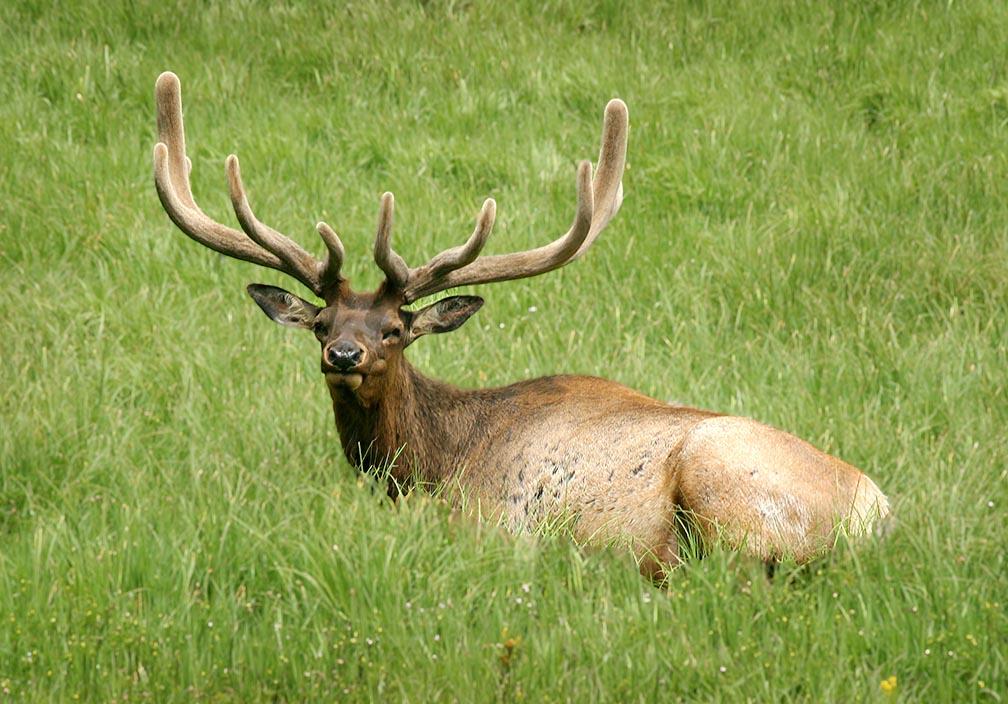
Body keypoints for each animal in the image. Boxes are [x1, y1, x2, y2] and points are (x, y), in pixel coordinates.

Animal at [151, 70, 891, 576]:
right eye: (322, 321)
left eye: (395, 329)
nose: (344, 356)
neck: (428, 464)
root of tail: (875, 514)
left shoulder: (494, 526)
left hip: (726, 484)